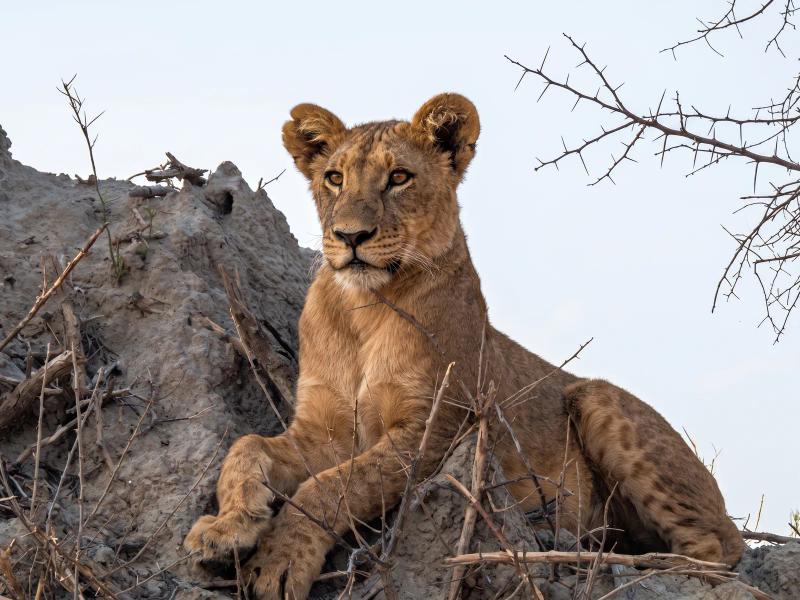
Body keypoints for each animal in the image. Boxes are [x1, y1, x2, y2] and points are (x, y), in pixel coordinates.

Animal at [185, 93, 744, 599]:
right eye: (335, 178)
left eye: (399, 177)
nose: (350, 236)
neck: (363, 308)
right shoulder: (325, 430)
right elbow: (247, 446)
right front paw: (225, 530)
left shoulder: (432, 433)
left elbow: (328, 488)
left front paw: (278, 562)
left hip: (595, 397)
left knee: (717, 553)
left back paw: (633, 565)